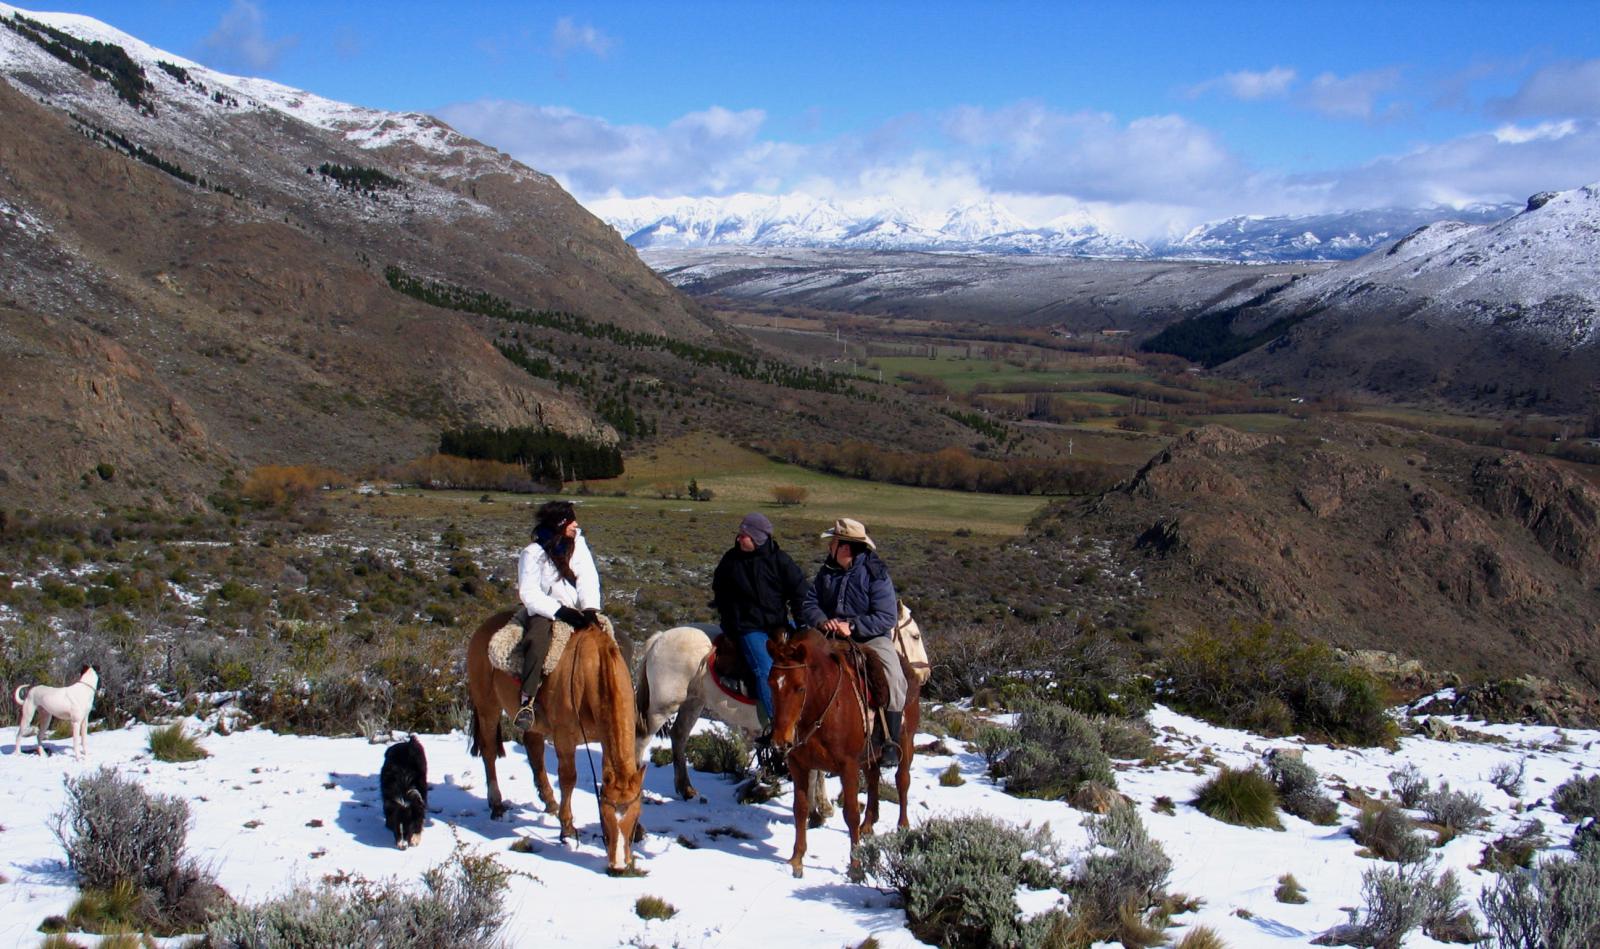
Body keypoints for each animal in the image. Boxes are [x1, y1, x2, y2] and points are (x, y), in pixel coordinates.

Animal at [464, 608, 643, 870]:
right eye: (605, 817)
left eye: (634, 817)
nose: (619, 864)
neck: (589, 675)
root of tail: (483, 628)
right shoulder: (564, 737)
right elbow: (568, 779)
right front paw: (567, 828)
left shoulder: (603, 740)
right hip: (487, 707)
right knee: (489, 752)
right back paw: (496, 805)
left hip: (532, 724)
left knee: (534, 749)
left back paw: (549, 802)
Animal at [636, 624, 832, 819]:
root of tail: (659, 638)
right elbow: (815, 771)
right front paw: (817, 810)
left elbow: (820, 770)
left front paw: (824, 806)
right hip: (662, 707)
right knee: (642, 739)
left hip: (693, 702)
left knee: (679, 734)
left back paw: (687, 789)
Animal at [764, 624, 921, 876]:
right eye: (770, 684)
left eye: (800, 687)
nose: (780, 741)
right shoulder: (799, 766)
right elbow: (800, 809)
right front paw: (796, 859)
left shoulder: (848, 766)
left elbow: (851, 813)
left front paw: (855, 866)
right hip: (870, 755)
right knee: (874, 778)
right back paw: (868, 825)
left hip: (906, 744)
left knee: (902, 781)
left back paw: (902, 826)